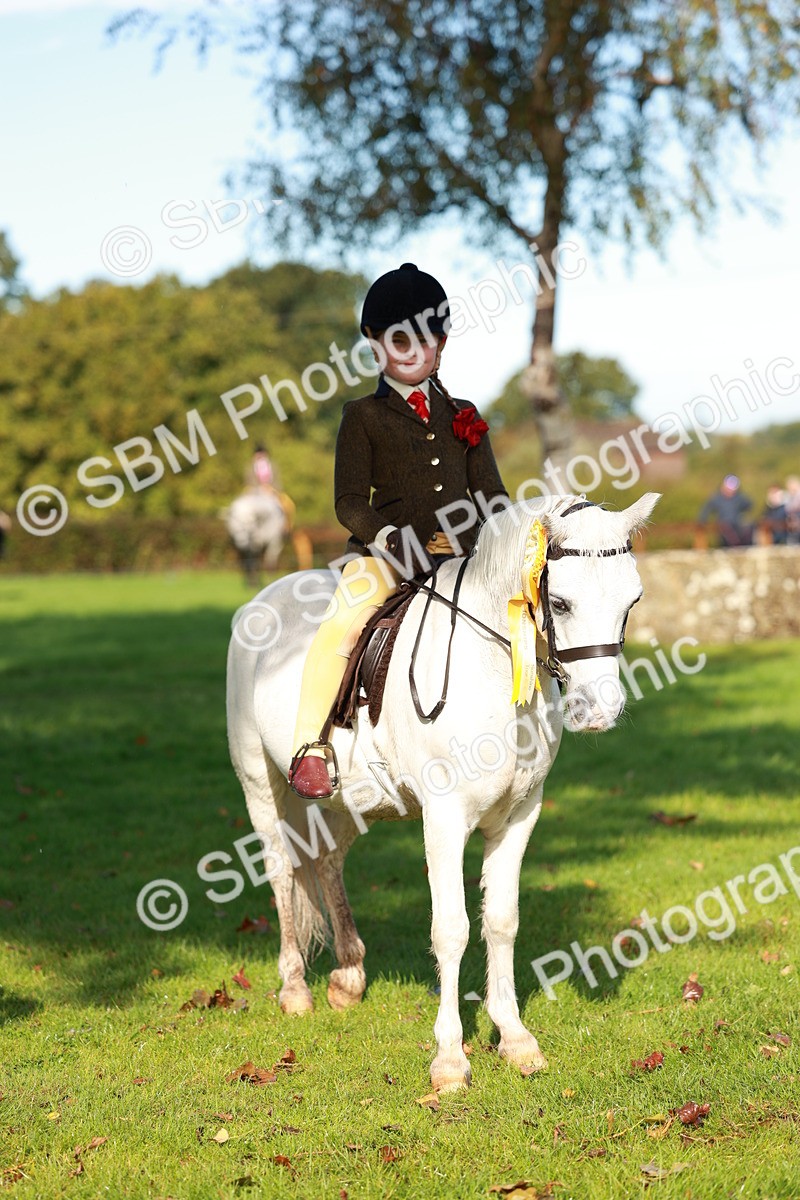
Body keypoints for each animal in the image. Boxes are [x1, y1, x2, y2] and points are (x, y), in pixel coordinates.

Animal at [226, 493, 659, 1091]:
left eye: (631, 600)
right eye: (562, 603)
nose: (600, 710)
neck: (497, 671)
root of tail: (264, 596)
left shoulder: (519, 816)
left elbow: (501, 921)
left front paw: (515, 1038)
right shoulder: (445, 818)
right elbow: (451, 929)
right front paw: (451, 1059)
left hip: (349, 801)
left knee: (328, 860)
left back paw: (348, 975)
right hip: (260, 784)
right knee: (280, 870)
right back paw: (295, 988)